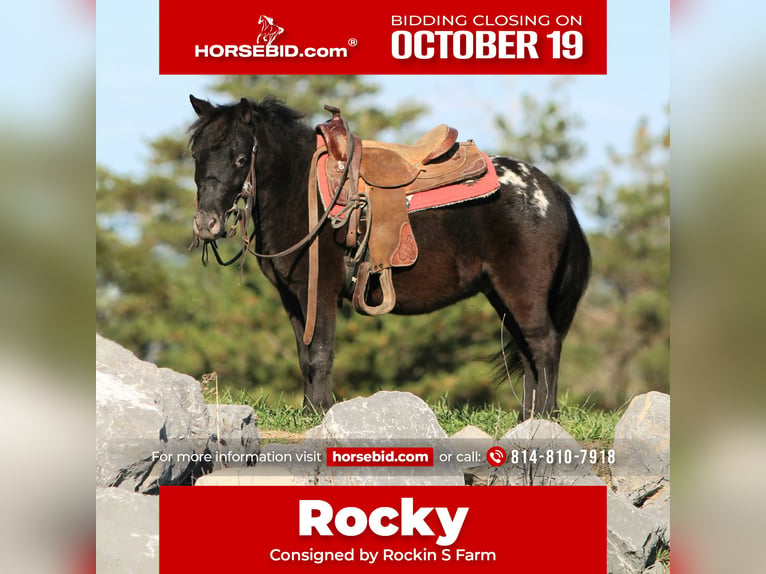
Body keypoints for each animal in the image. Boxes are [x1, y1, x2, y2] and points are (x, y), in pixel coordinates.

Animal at [187, 95, 591, 420]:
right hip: (502, 294)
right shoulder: (293, 297)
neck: (301, 191)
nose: (206, 224)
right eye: (196, 155)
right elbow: (304, 356)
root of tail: (552, 193)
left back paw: (545, 416)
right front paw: (308, 409)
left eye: (241, 158)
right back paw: (528, 416)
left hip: (522, 291)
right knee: (527, 350)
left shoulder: (320, 292)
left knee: (545, 344)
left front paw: (320, 410)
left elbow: (320, 352)